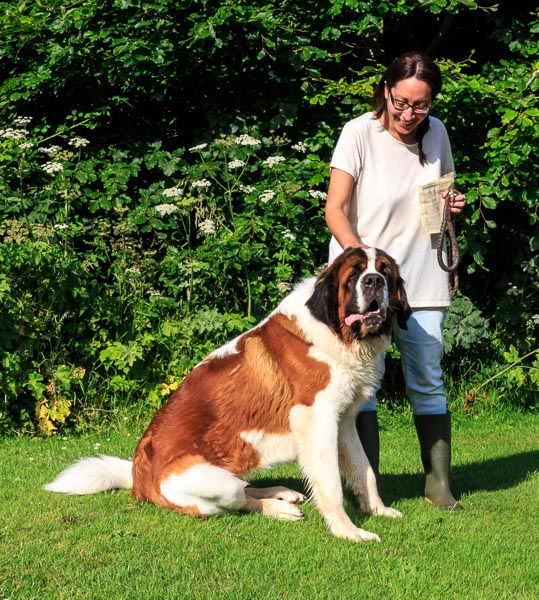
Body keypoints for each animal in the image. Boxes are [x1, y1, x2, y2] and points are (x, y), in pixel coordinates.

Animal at [44, 246, 412, 540]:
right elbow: (332, 483)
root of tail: (138, 475)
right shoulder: (317, 421)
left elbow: (364, 470)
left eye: (385, 272)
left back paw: (282, 492)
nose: (374, 281)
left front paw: (377, 510)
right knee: (239, 499)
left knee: (246, 487)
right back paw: (278, 507)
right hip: (212, 483)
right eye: (355, 275)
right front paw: (348, 531)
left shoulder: (344, 420)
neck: (337, 333)